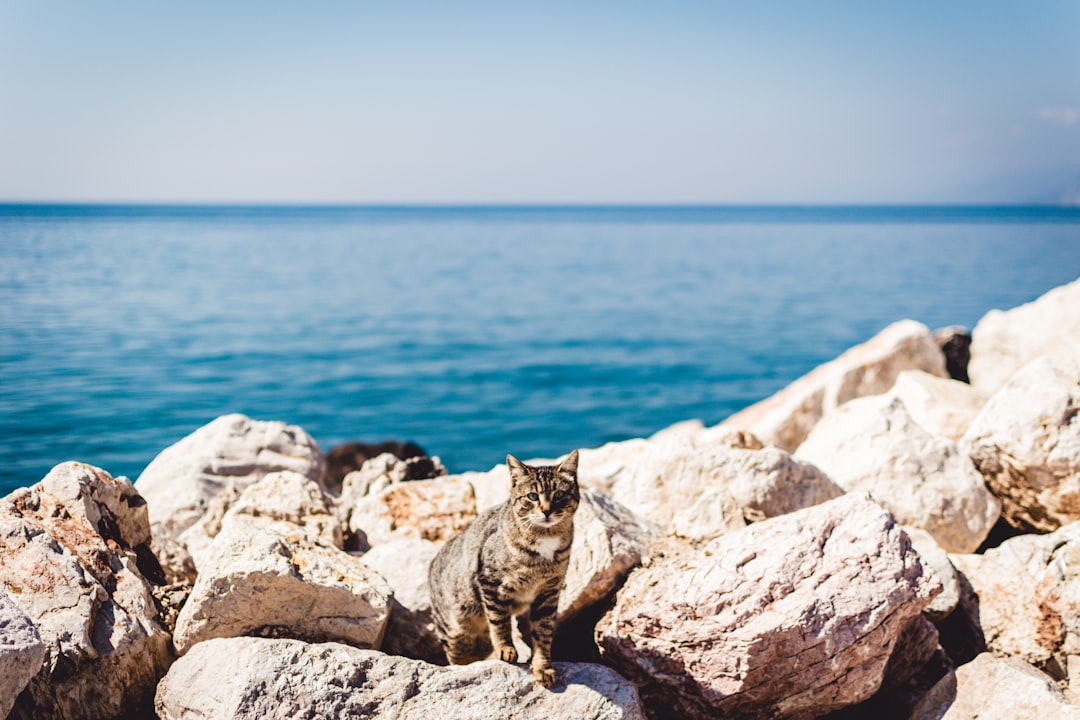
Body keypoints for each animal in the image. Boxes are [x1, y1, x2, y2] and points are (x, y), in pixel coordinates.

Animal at [427, 446, 583, 690]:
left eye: (559, 494)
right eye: (532, 496)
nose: (547, 511)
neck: (545, 539)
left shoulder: (549, 591)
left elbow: (543, 632)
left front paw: (543, 667)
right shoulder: (491, 582)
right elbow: (500, 621)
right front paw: (505, 649)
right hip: (454, 630)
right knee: (458, 657)